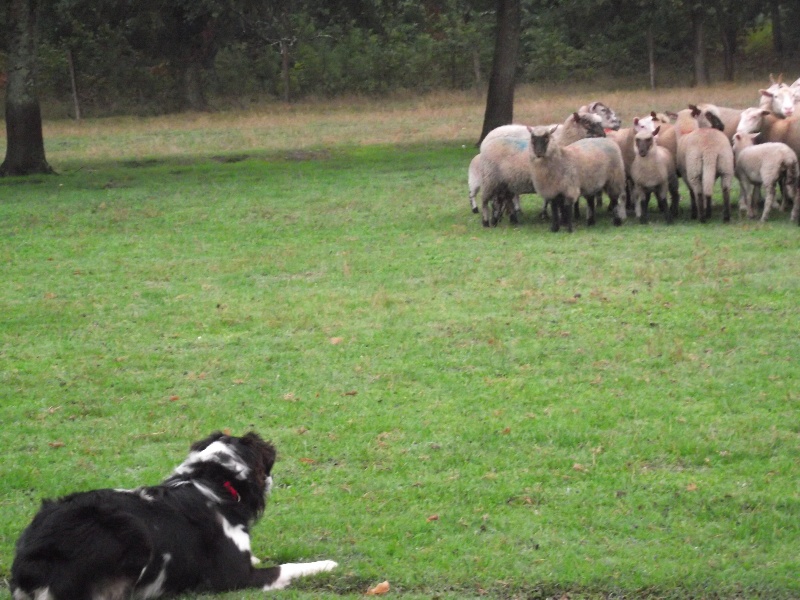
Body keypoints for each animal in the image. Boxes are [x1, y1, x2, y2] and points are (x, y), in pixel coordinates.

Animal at [11, 432, 338, 600]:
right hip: (132, 533)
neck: (214, 483)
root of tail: (32, 561)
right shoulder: (233, 578)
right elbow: (288, 568)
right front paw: (325, 565)